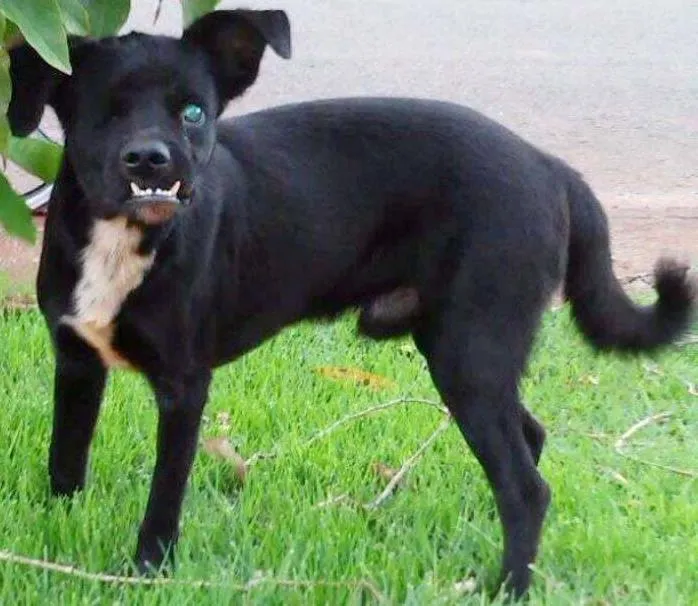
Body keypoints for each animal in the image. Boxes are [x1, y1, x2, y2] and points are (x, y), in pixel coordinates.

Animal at [8, 8, 692, 600]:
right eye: (103, 113)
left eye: (195, 113)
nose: (152, 162)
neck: (125, 242)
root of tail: (551, 166)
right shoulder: (75, 361)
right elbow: (65, 461)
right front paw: (57, 535)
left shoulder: (184, 386)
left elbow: (163, 498)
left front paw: (146, 573)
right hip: (466, 350)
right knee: (528, 439)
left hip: (471, 350)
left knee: (527, 488)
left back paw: (510, 587)